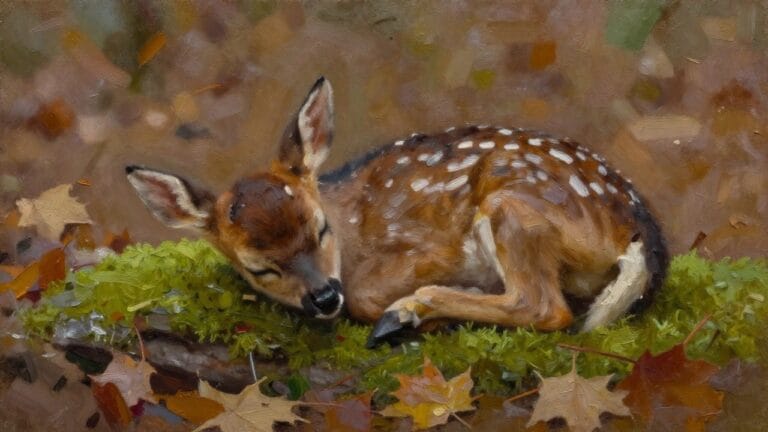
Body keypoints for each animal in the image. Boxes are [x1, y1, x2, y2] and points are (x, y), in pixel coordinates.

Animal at [126, 77, 668, 348]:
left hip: (511, 207)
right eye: (258, 268)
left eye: (320, 230)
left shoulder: (429, 247)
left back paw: (408, 313)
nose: (324, 297)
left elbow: (368, 295)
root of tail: (638, 231)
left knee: (546, 307)